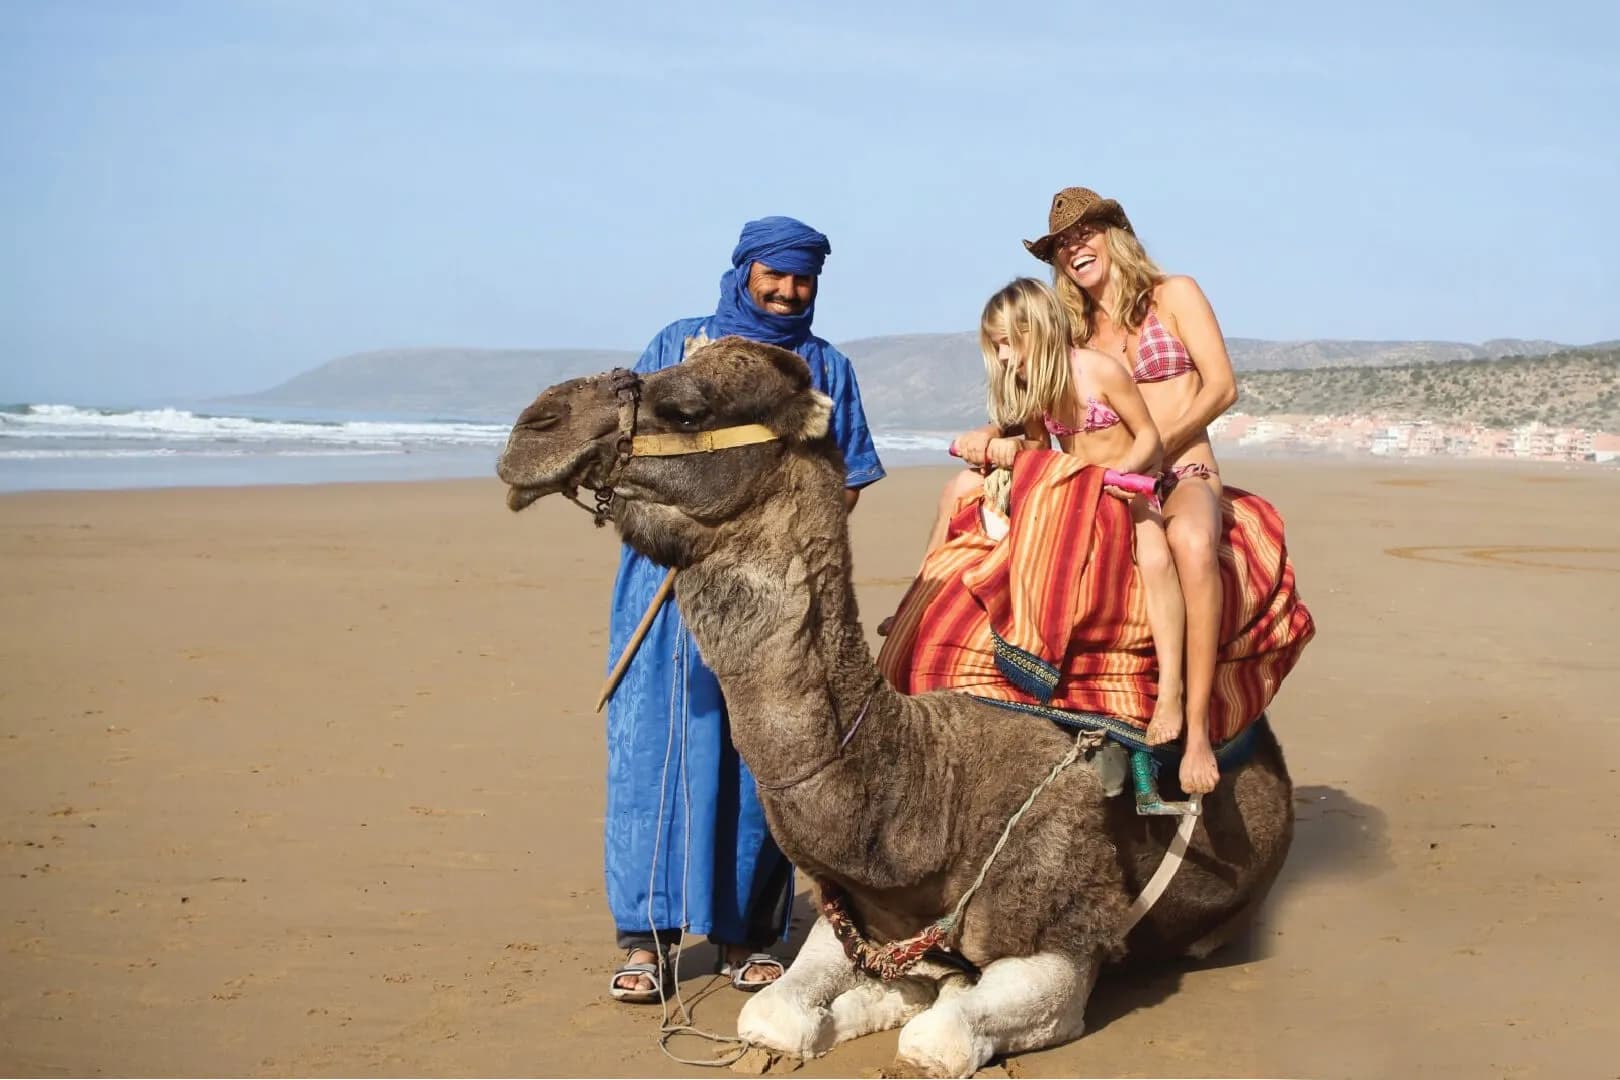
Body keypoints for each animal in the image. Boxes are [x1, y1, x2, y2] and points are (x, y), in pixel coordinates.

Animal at [497, 337, 1294, 1077]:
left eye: (688, 407)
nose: (534, 425)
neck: (925, 791)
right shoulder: (851, 916)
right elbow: (775, 1013)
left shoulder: (1067, 940)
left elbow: (936, 1035)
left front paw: (924, 999)